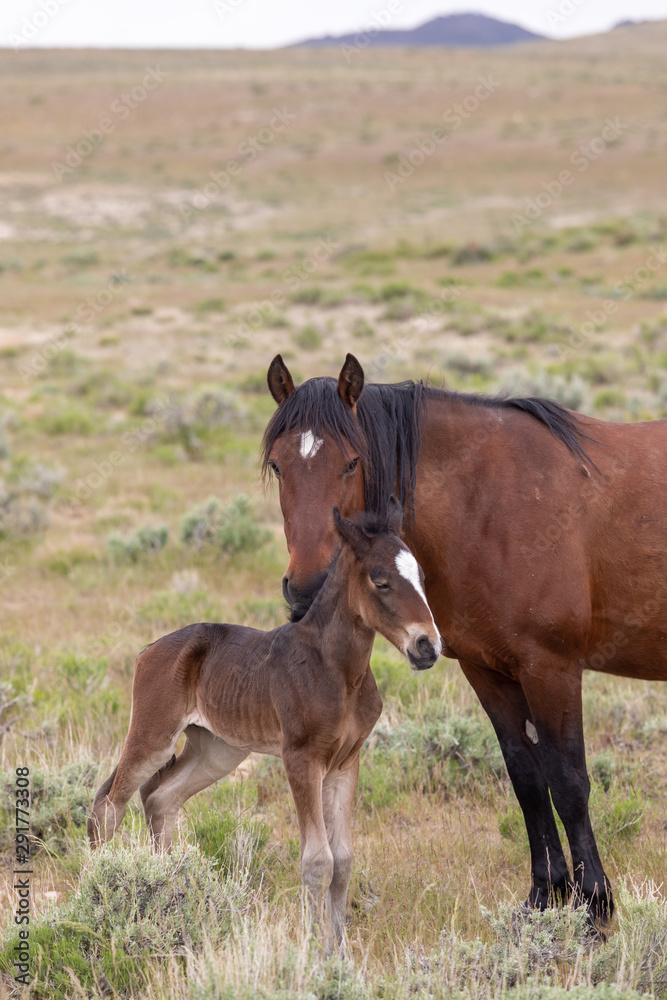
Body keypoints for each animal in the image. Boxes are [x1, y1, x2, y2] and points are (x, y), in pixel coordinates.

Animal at [90, 504, 444, 948]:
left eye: (423, 578)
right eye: (380, 580)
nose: (428, 646)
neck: (338, 670)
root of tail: (148, 650)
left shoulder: (345, 762)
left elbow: (344, 859)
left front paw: (340, 952)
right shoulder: (301, 759)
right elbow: (318, 860)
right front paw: (317, 951)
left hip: (218, 750)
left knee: (160, 798)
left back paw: (168, 888)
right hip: (154, 735)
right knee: (109, 804)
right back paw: (99, 895)